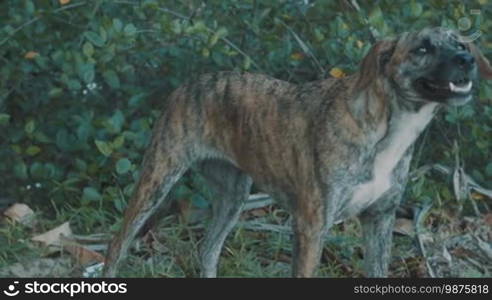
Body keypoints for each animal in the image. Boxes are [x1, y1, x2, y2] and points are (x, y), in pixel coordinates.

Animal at [102, 27, 490, 278]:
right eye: (422, 49)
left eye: (459, 43)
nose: (466, 59)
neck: (385, 127)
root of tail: (191, 82)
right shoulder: (310, 227)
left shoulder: (380, 220)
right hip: (155, 181)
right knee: (116, 246)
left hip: (233, 196)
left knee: (207, 250)